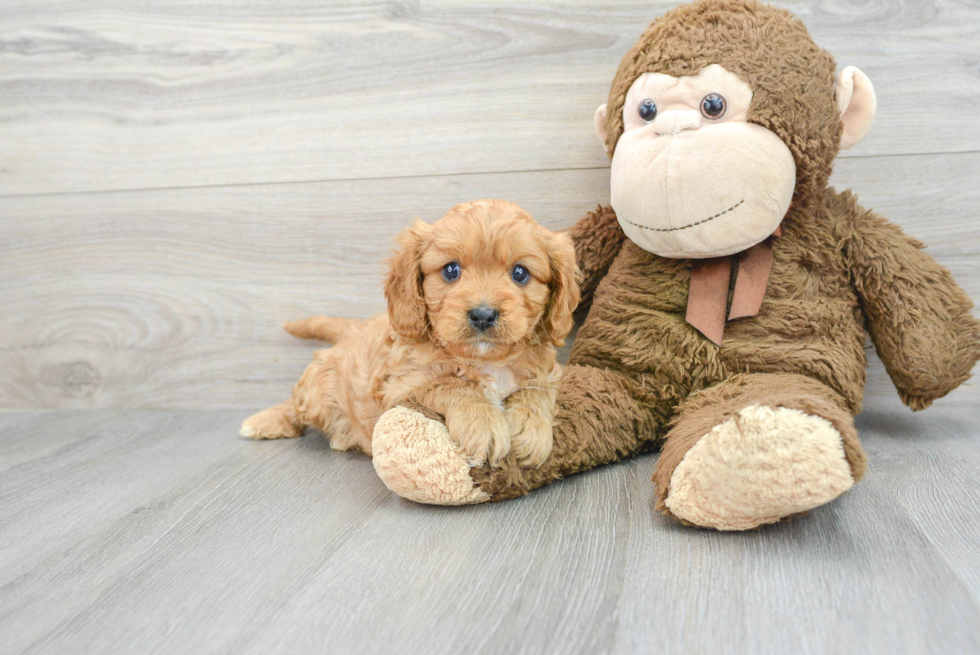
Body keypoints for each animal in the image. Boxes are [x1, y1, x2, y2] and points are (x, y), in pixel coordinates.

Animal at [240, 199, 580, 466]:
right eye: (451, 270)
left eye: (520, 273)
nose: (483, 314)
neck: (485, 362)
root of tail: (355, 327)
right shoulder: (401, 387)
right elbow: (453, 385)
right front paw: (482, 423)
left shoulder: (550, 373)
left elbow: (536, 390)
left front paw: (530, 428)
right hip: (318, 388)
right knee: (297, 403)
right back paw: (266, 421)